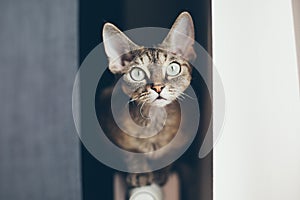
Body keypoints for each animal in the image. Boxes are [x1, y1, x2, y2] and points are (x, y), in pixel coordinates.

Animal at [101, 12, 197, 188]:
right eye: (137, 73)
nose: (158, 87)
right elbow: (132, 152)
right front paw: (141, 173)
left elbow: (169, 154)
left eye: (173, 68)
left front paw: (160, 172)